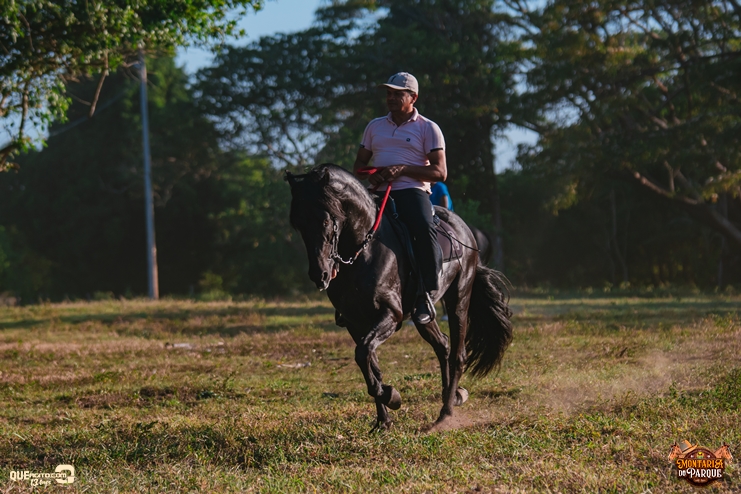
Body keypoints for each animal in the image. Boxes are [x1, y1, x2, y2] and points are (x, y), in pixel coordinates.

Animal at [286, 163, 512, 431]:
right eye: (298, 224)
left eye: (325, 220)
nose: (319, 274)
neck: (363, 252)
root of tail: (465, 230)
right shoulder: (355, 322)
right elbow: (369, 362)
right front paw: (383, 420)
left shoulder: (391, 315)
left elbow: (363, 353)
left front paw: (391, 396)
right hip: (423, 314)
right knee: (443, 345)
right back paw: (453, 395)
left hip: (459, 299)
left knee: (458, 354)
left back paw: (445, 414)